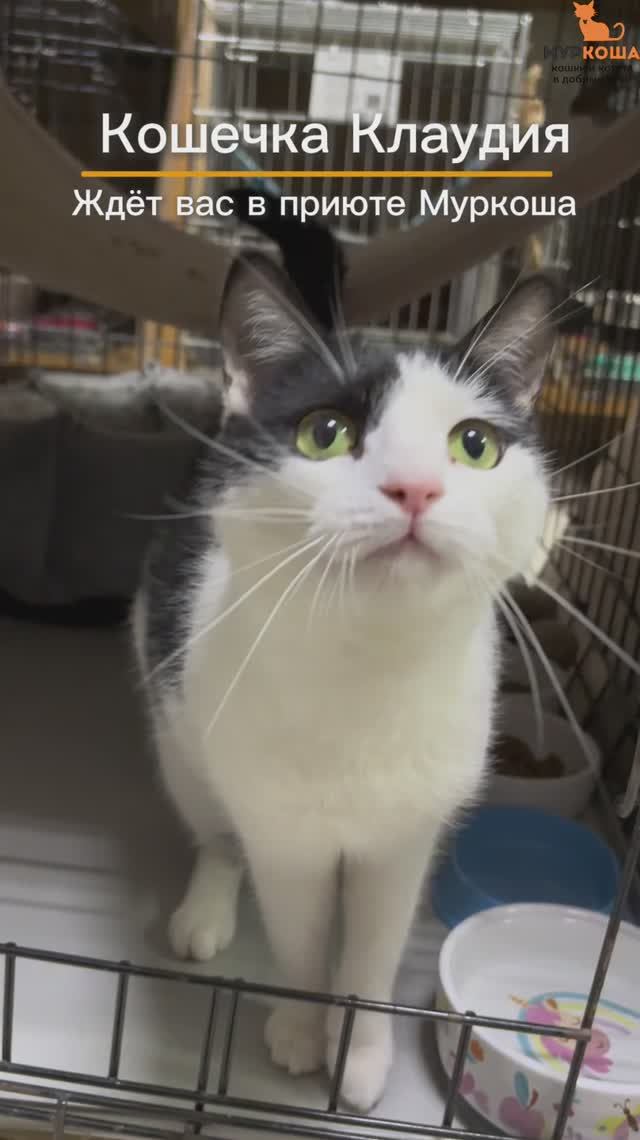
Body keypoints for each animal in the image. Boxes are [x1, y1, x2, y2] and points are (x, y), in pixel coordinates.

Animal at [132, 204, 555, 1113]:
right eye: (325, 434)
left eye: (474, 445)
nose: (415, 488)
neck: (369, 669)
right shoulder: (285, 840)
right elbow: (300, 941)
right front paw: (298, 1032)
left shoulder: (403, 843)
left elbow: (368, 954)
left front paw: (357, 1055)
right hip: (181, 737)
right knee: (214, 832)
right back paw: (205, 911)